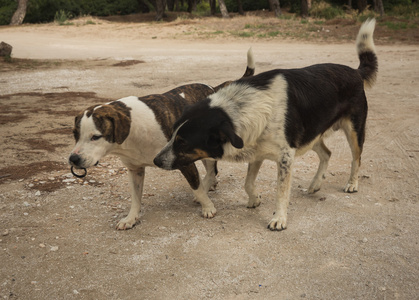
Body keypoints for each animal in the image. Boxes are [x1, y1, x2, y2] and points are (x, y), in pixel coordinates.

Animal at [69, 48, 256, 230]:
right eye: (75, 134)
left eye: (96, 137)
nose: (73, 158)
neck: (134, 131)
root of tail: (213, 88)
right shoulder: (135, 170)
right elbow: (135, 197)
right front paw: (131, 218)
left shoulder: (184, 161)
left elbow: (196, 187)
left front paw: (208, 207)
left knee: (211, 169)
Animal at [155, 19, 380, 231]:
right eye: (172, 134)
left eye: (183, 142)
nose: (156, 160)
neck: (243, 107)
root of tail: (355, 72)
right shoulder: (257, 150)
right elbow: (247, 183)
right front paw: (254, 200)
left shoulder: (286, 157)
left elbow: (281, 192)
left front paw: (279, 219)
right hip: (310, 133)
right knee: (327, 153)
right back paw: (315, 184)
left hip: (353, 131)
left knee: (356, 158)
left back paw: (352, 184)